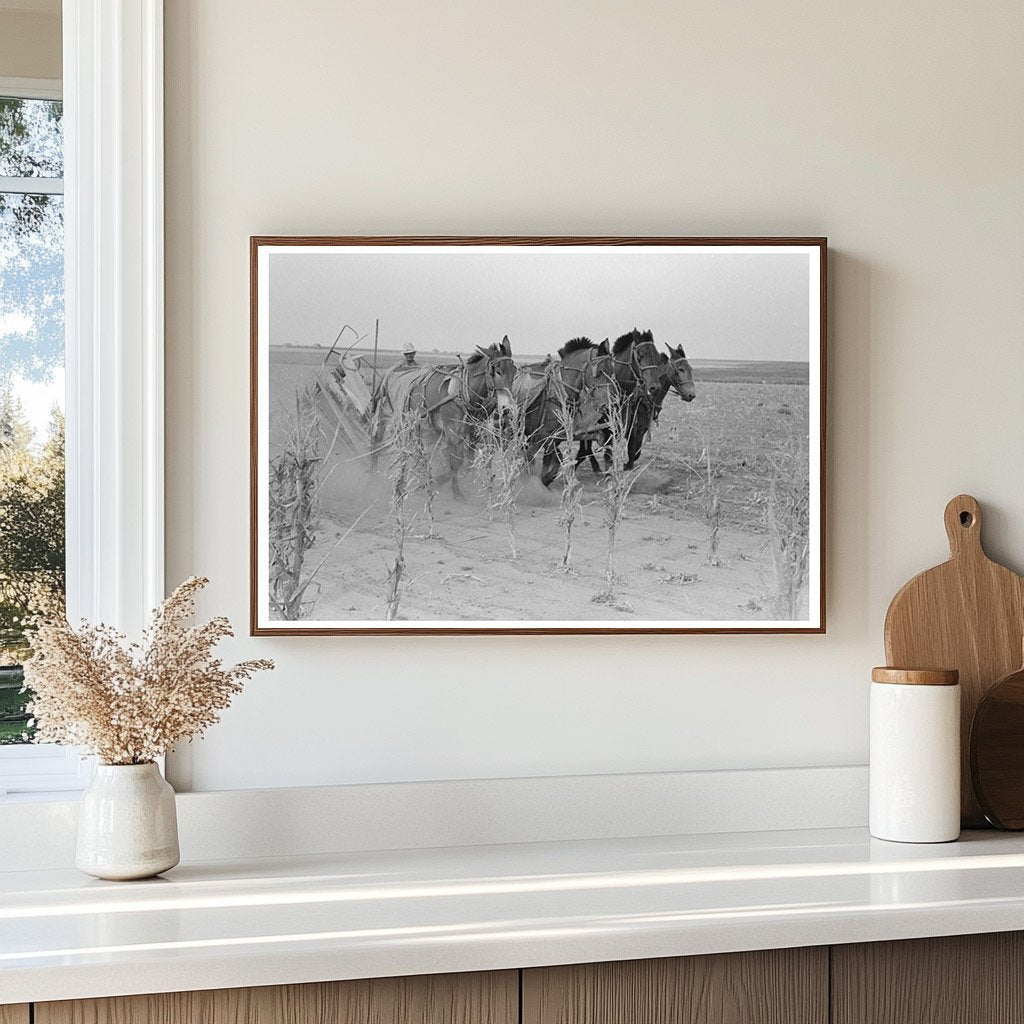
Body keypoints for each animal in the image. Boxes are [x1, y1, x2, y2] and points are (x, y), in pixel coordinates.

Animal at [372, 335, 516, 495]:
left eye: (515, 371)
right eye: (497, 371)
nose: (507, 408)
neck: (462, 391)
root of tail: (390, 372)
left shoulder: (471, 431)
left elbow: (466, 459)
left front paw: (465, 482)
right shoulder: (452, 431)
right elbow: (456, 462)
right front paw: (454, 491)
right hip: (390, 415)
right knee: (377, 440)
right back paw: (374, 473)